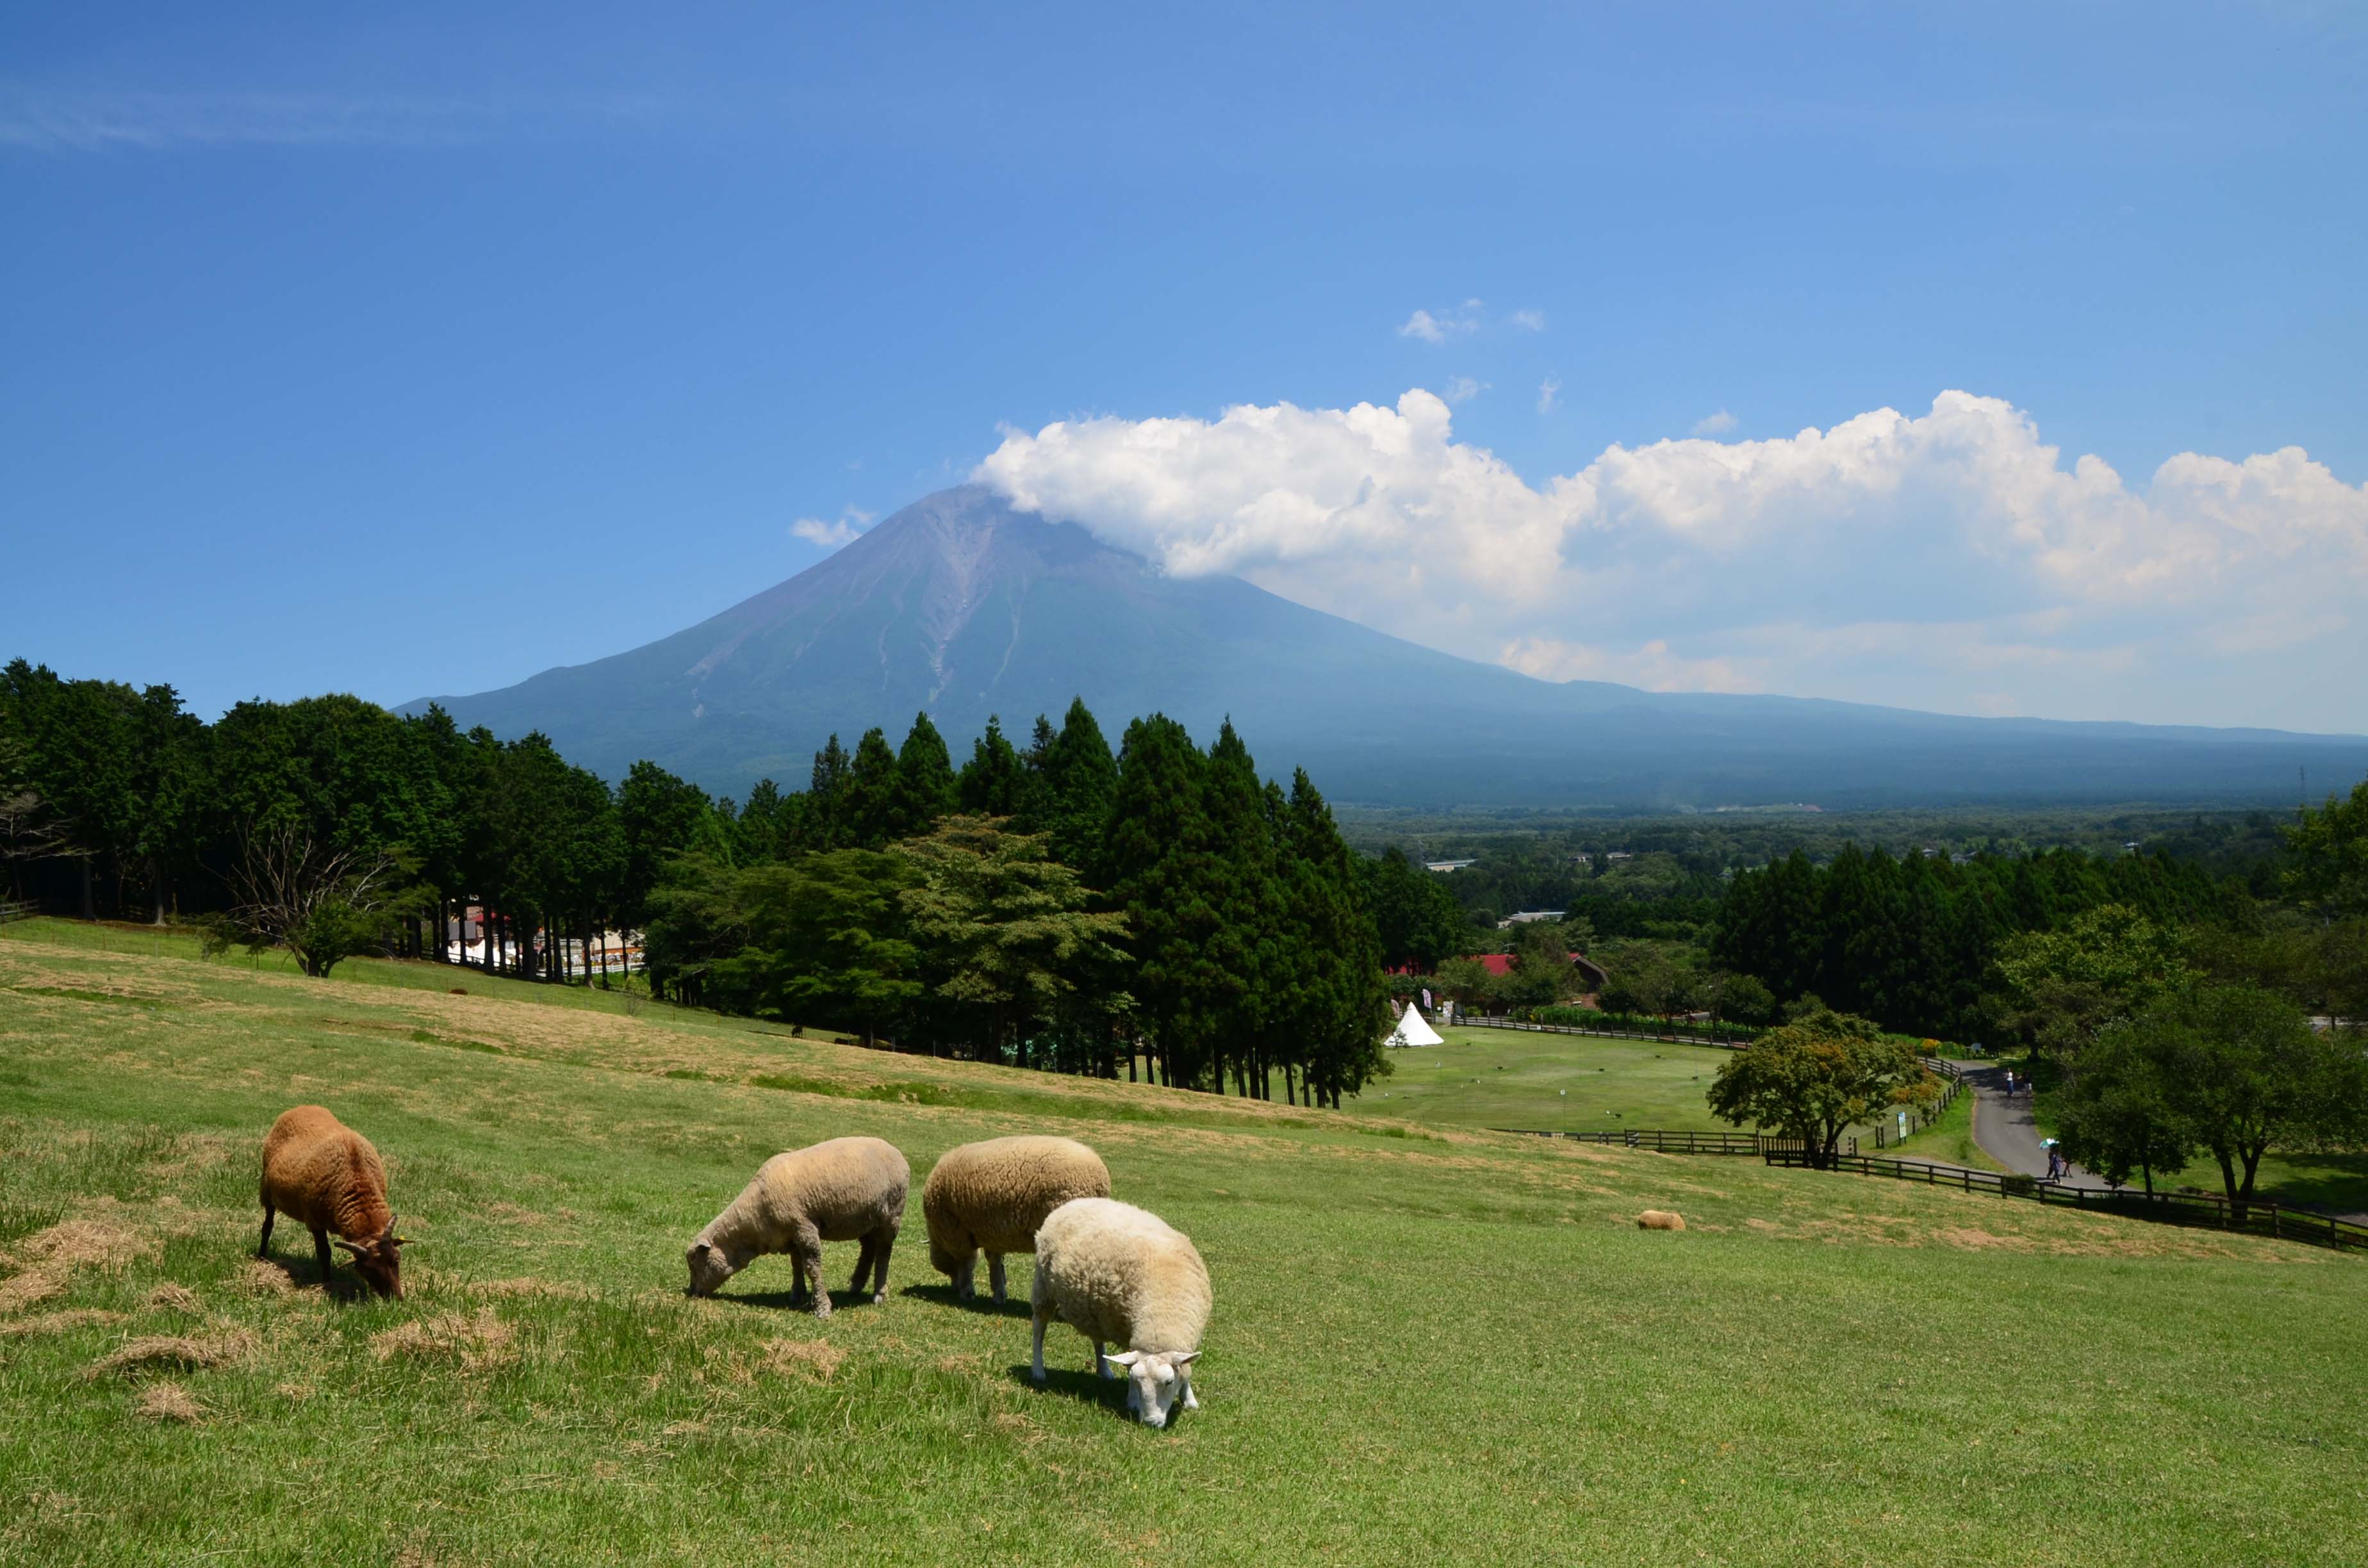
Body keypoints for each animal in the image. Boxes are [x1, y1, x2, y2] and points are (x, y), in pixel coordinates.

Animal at [261, 1104, 409, 1298]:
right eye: (368, 1270)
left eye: (397, 1259)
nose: (396, 1299)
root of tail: (300, 1107)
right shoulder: (315, 1221)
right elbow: (325, 1252)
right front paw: (327, 1281)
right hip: (266, 1189)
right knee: (267, 1225)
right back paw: (261, 1256)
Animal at [691, 1136, 909, 1317]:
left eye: (694, 1263)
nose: (693, 1293)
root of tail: (897, 1152)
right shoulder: (790, 1234)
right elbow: (796, 1264)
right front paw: (797, 1294)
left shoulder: (804, 1228)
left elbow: (812, 1267)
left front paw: (822, 1307)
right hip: (865, 1219)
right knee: (868, 1248)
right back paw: (856, 1285)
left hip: (891, 1215)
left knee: (884, 1252)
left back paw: (879, 1294)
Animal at [919, 1136, 1113, 1307]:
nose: (953, 1288)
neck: (938, 1236)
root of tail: (1100, 1180)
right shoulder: (992, 1233)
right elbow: (995, 1262)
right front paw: (999, 1293)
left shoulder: (957, 1232)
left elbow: (967, 1263)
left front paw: (968, 1293)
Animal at [1032, 1198, 1212, 1430]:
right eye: (1137, 1382)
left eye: (1169, 1382)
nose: (1151, 1423)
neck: (1164, 1313)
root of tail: (1075, 1202)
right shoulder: (1129, 1333)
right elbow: (1129, 1368)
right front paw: (1133, 1401)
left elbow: (1186, 1370)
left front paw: (1189, 1400)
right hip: (1043, 1288)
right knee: (1039, 1329)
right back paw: (1038, 1370)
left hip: (1096, 1311)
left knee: (1097, 1340)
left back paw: (1104, 1370)